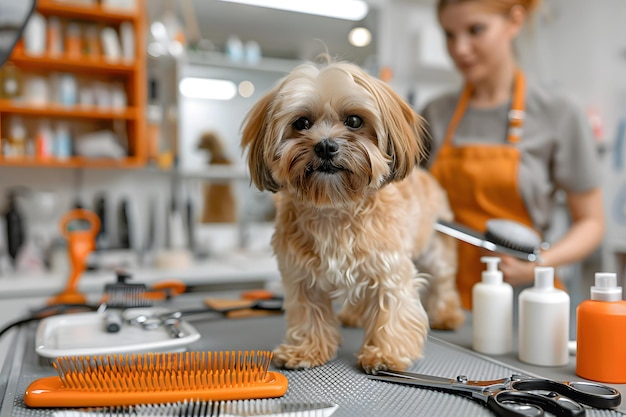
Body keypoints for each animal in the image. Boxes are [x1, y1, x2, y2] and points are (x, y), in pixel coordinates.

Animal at [239, 60, 464, 372]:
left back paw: (446, 315)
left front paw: (384, 354)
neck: (335, 209)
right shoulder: (300, 276)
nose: (325, 146)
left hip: (437, 250)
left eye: (354, 121)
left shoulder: (389, 269)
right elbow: (308, 314)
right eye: (302, 123)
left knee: (442, 284)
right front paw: (307, 349)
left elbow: (391, 308)